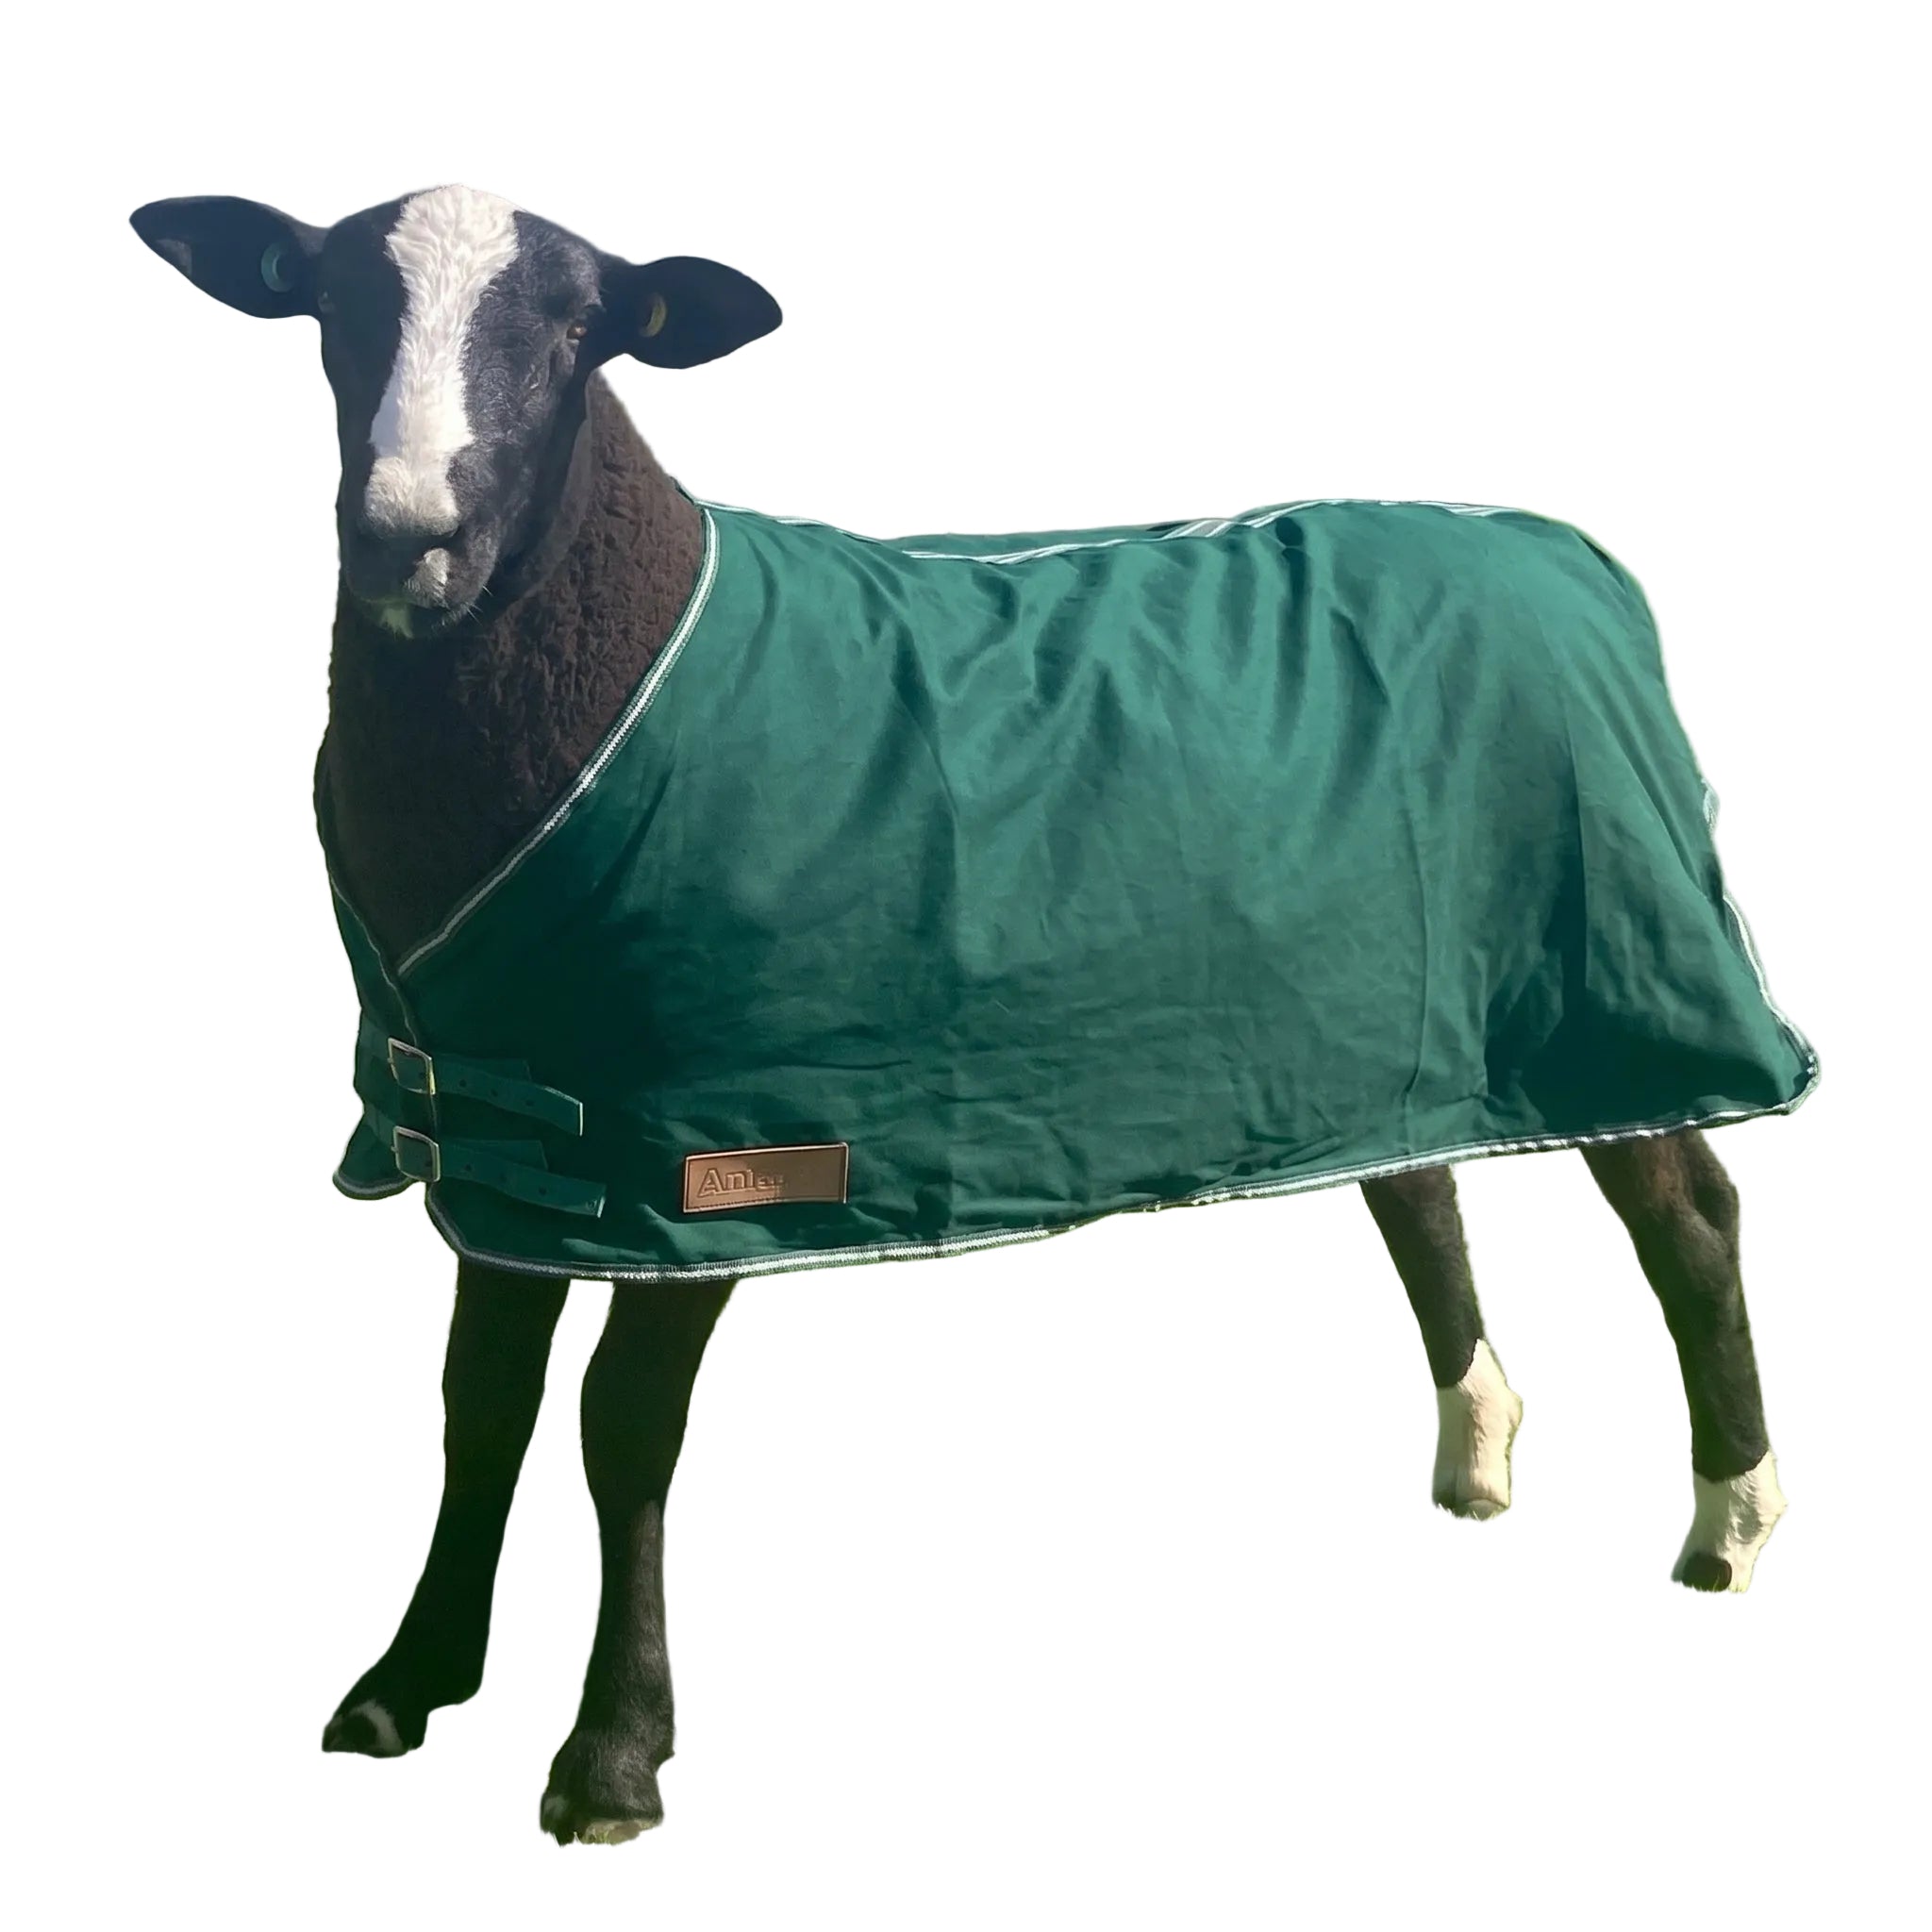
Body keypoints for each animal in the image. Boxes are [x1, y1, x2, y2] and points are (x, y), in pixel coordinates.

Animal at [129, 183, 1818, 1845]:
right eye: (334, 310)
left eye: (575, 329)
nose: (405, 541)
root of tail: (1565, 549)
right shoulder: (508, 1121)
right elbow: (477, 1405)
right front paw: (405, 1683)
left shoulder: (706, 1155)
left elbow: (624, 1432)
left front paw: (611, 1759)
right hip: (1385, 1001)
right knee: (1419, 1188)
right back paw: (1478, 1454)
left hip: (1618, 967)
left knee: (1693, 1217)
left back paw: (1729, 1524)